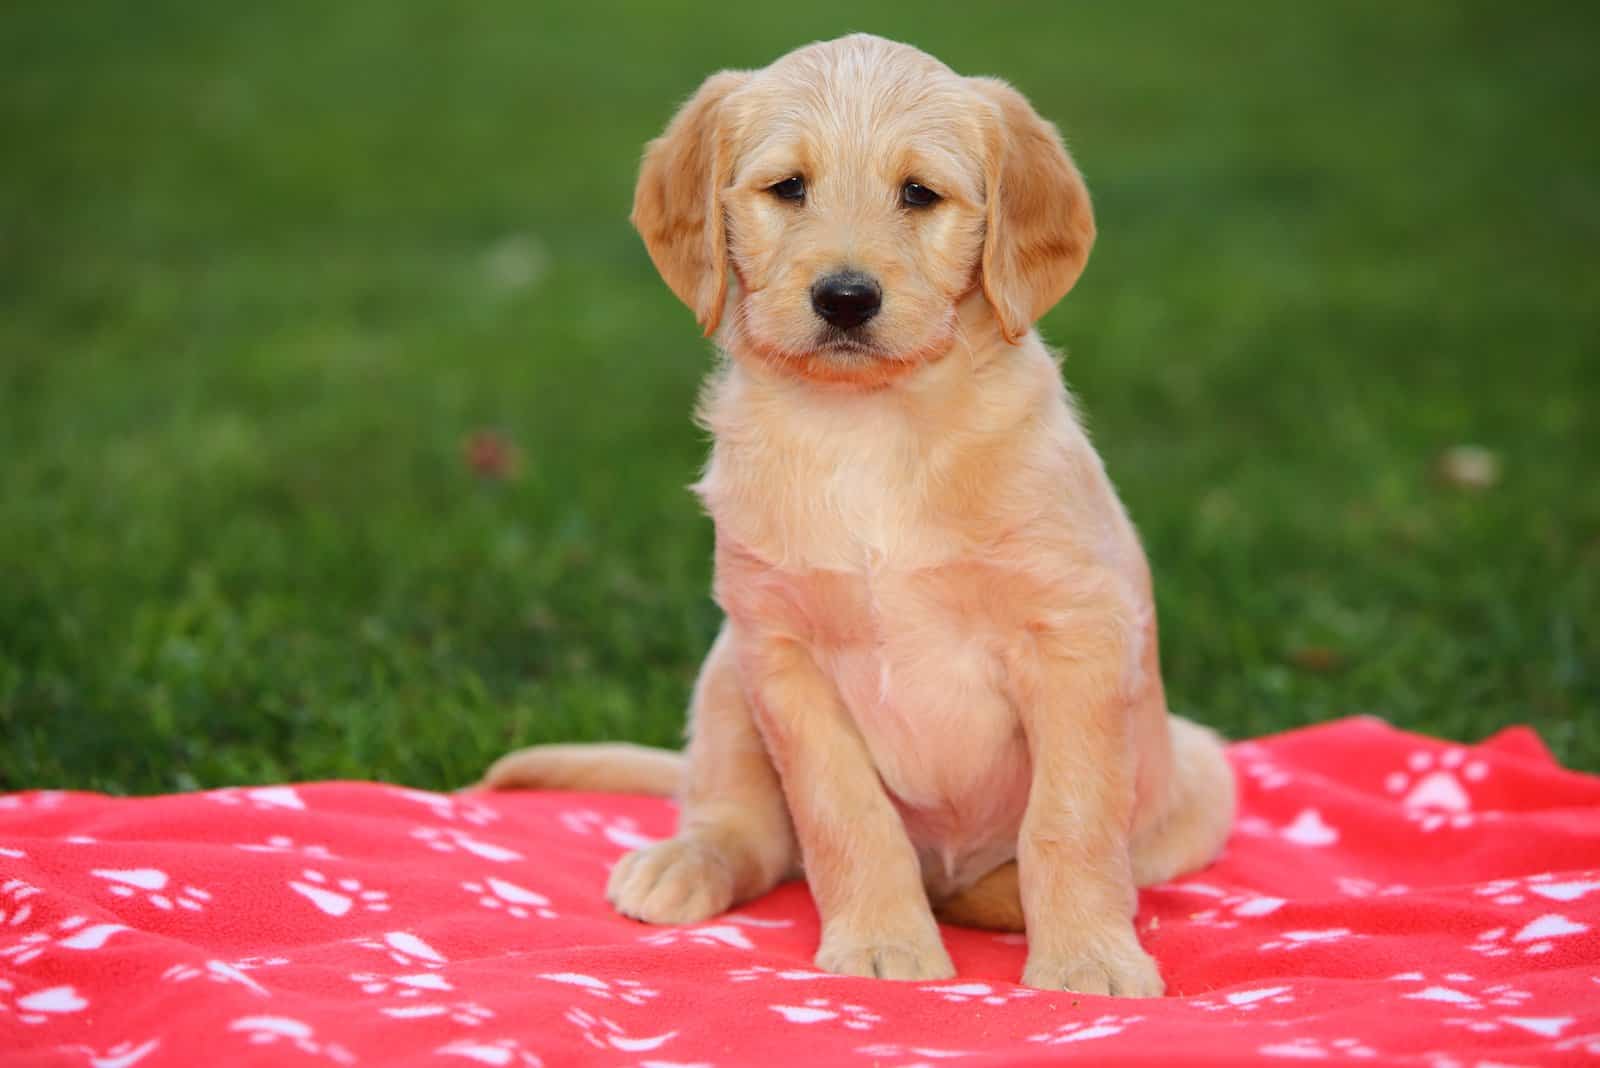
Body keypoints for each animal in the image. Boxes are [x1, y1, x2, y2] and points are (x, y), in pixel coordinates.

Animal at [483, 35, 1235, 1004]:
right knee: (745, 827)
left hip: (1199, 772)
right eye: (788, 188)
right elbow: (843, 814)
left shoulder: (1075, 635)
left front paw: (1088, 961)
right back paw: (684, 861)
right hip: (727, 679)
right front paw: (883, 942)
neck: (870, 426)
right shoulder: (783, 655)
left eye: (918, 193)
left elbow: (1067, 819)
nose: (845, 299)